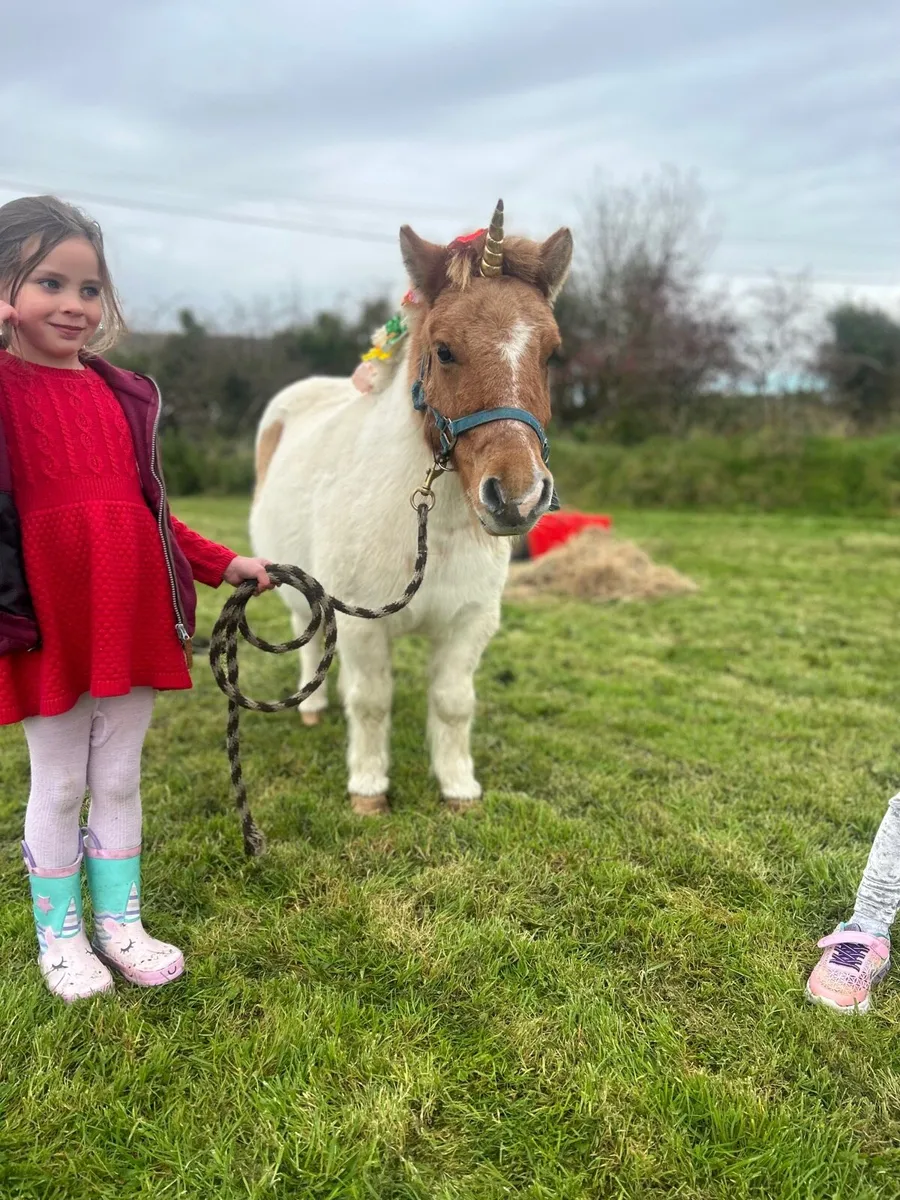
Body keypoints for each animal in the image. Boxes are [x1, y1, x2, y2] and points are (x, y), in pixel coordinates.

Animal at [249, 201, 573, 815]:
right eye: (443, 350)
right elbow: (372, 700)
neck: (430, 530)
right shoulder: (362, 624)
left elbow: (452, 702)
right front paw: (369, 788)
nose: (517, 497)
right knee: (307, 632)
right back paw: (312, 709)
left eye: (551, 353)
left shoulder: (469, 624)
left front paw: (459, 787)